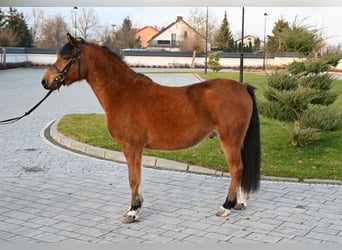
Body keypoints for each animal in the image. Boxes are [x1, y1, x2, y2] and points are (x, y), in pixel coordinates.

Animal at [41, 33, 260, 223]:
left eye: (66, 57)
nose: (45, 81)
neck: (122, 92)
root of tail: (243, 87)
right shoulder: (135, 148)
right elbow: (137, 178)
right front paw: (135, 207)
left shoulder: (131, 147)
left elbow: (133, 179)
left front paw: (133, 211)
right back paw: (240, 202)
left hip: (229, 139)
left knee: (236, 169)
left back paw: (226, 206)